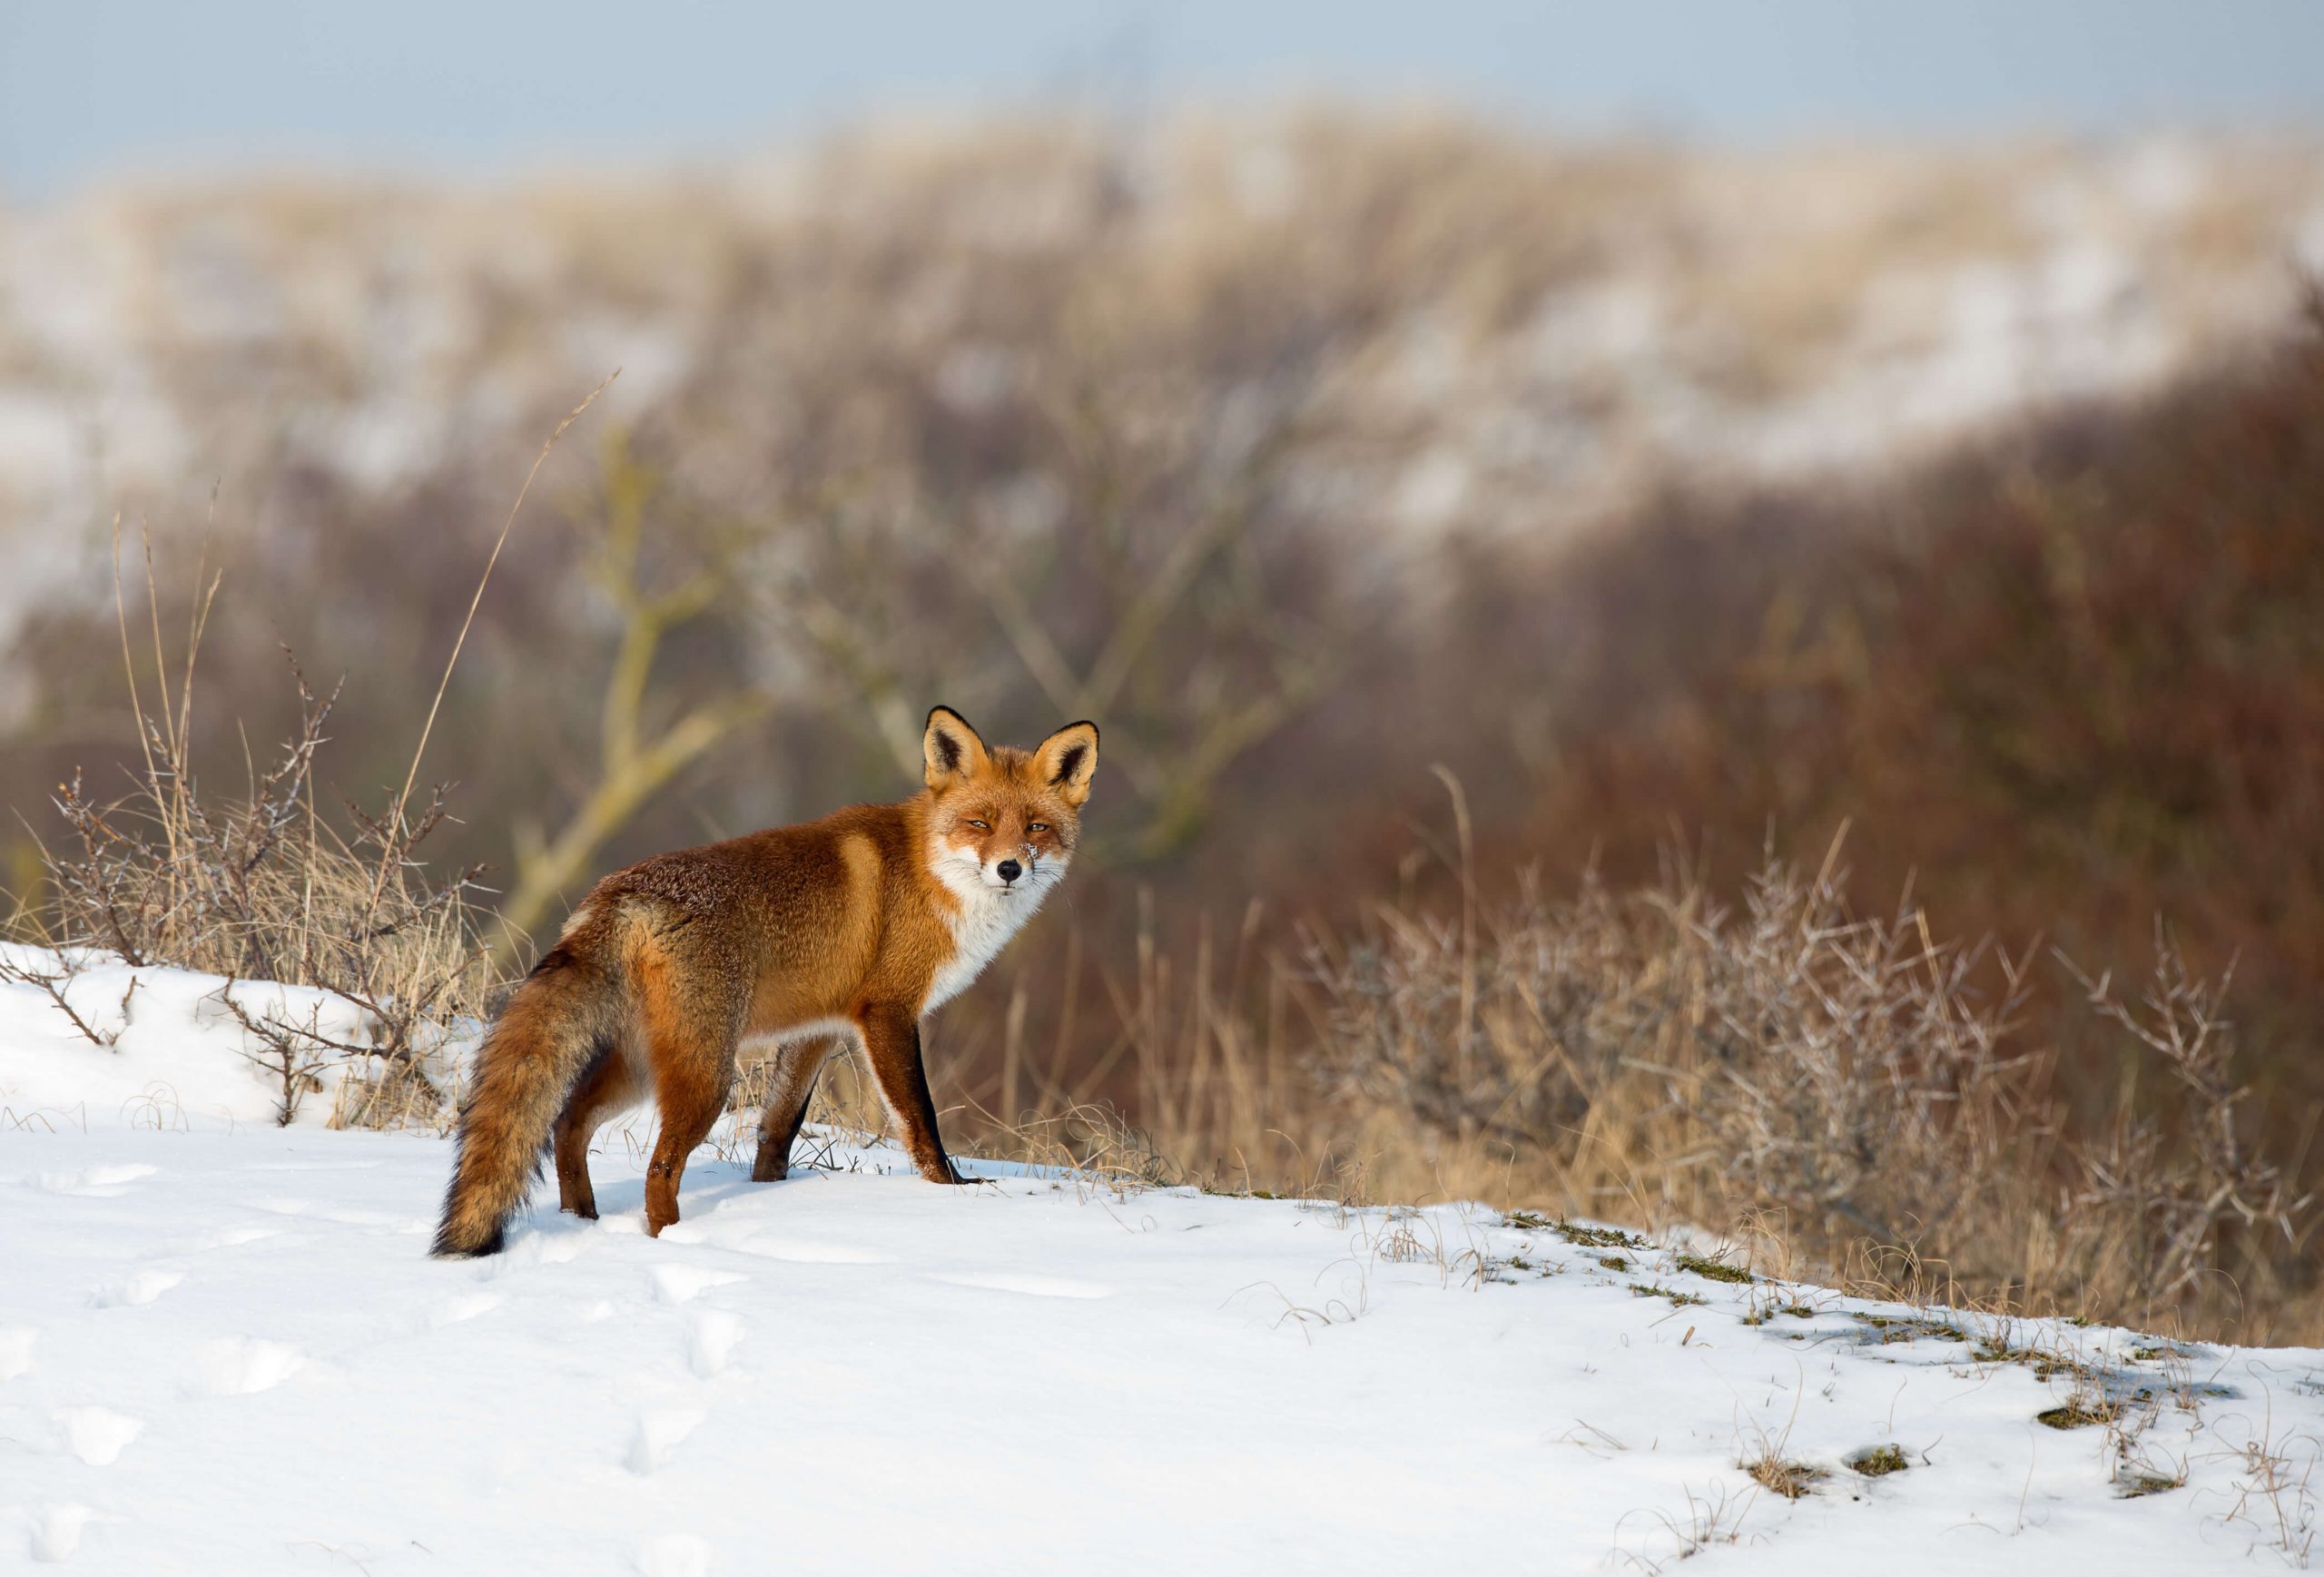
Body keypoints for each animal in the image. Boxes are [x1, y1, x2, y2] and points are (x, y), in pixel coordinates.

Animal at [437, 705, 1097, 1254]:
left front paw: (770, 1195)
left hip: (642, 1064)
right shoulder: (888, 1012)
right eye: (979, 823)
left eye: (1036, 827)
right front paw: (951, 1190)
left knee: (568, 1122)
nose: (1009, 868)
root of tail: (617, 895)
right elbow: (921, 1119)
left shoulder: (816, 1029)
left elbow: (778, 1130)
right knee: (657, 1167)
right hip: (707, 1074)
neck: (930, 874)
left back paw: (584, 1220)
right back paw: (674, 1242)